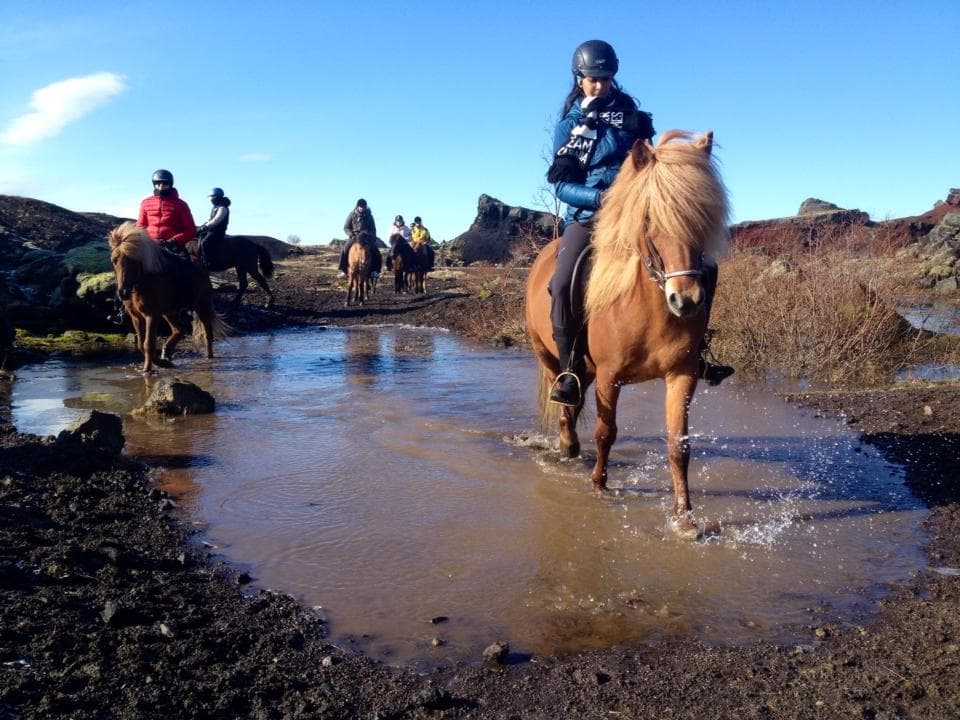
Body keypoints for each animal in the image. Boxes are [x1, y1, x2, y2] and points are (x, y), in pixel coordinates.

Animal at [108, 221, 227, 373]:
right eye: (114, 261)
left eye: (134, 261)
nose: (123, 292)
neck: (143, 281)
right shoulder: (137, 317)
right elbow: (141, 344)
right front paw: (161, 363)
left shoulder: (151, 315)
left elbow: (148, 343)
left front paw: (148, 369)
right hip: (168, 312)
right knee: (179, 330)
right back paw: (167, 353)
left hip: (202, 306)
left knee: (207, 333)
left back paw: (208, 357)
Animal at [524, 131, 729, 538]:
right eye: (649, 218)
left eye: (702, 217)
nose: (686, 300)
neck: (648, 308)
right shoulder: (610, 376)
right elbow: (607, 431)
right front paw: (599, 486)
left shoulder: (682, 375)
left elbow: (679, 445)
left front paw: (685, 518)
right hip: (549, 355)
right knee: (563, 398)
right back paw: (567, 445)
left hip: (584, 368)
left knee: (573, 402)